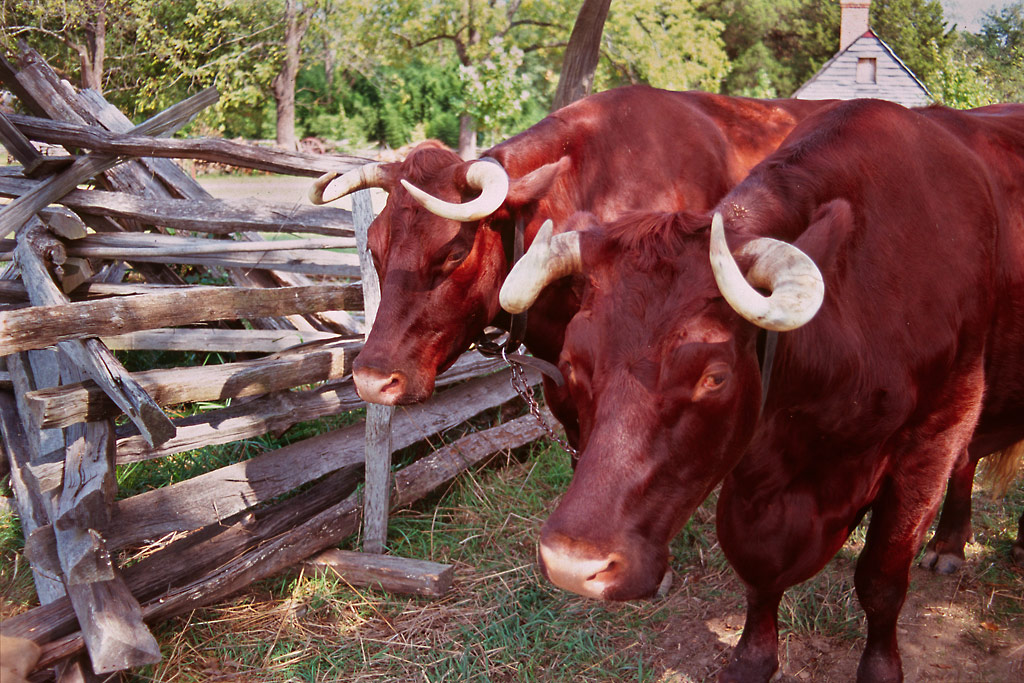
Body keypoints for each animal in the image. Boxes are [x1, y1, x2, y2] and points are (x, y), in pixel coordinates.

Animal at [498, 98, 1024, 682]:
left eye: (714, 376)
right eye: (572, 364)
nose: (574, 564)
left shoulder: (933, 438)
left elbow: (882, 577)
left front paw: (881, 668)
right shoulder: (752, 470)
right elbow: (758, 571)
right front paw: (752, 658)